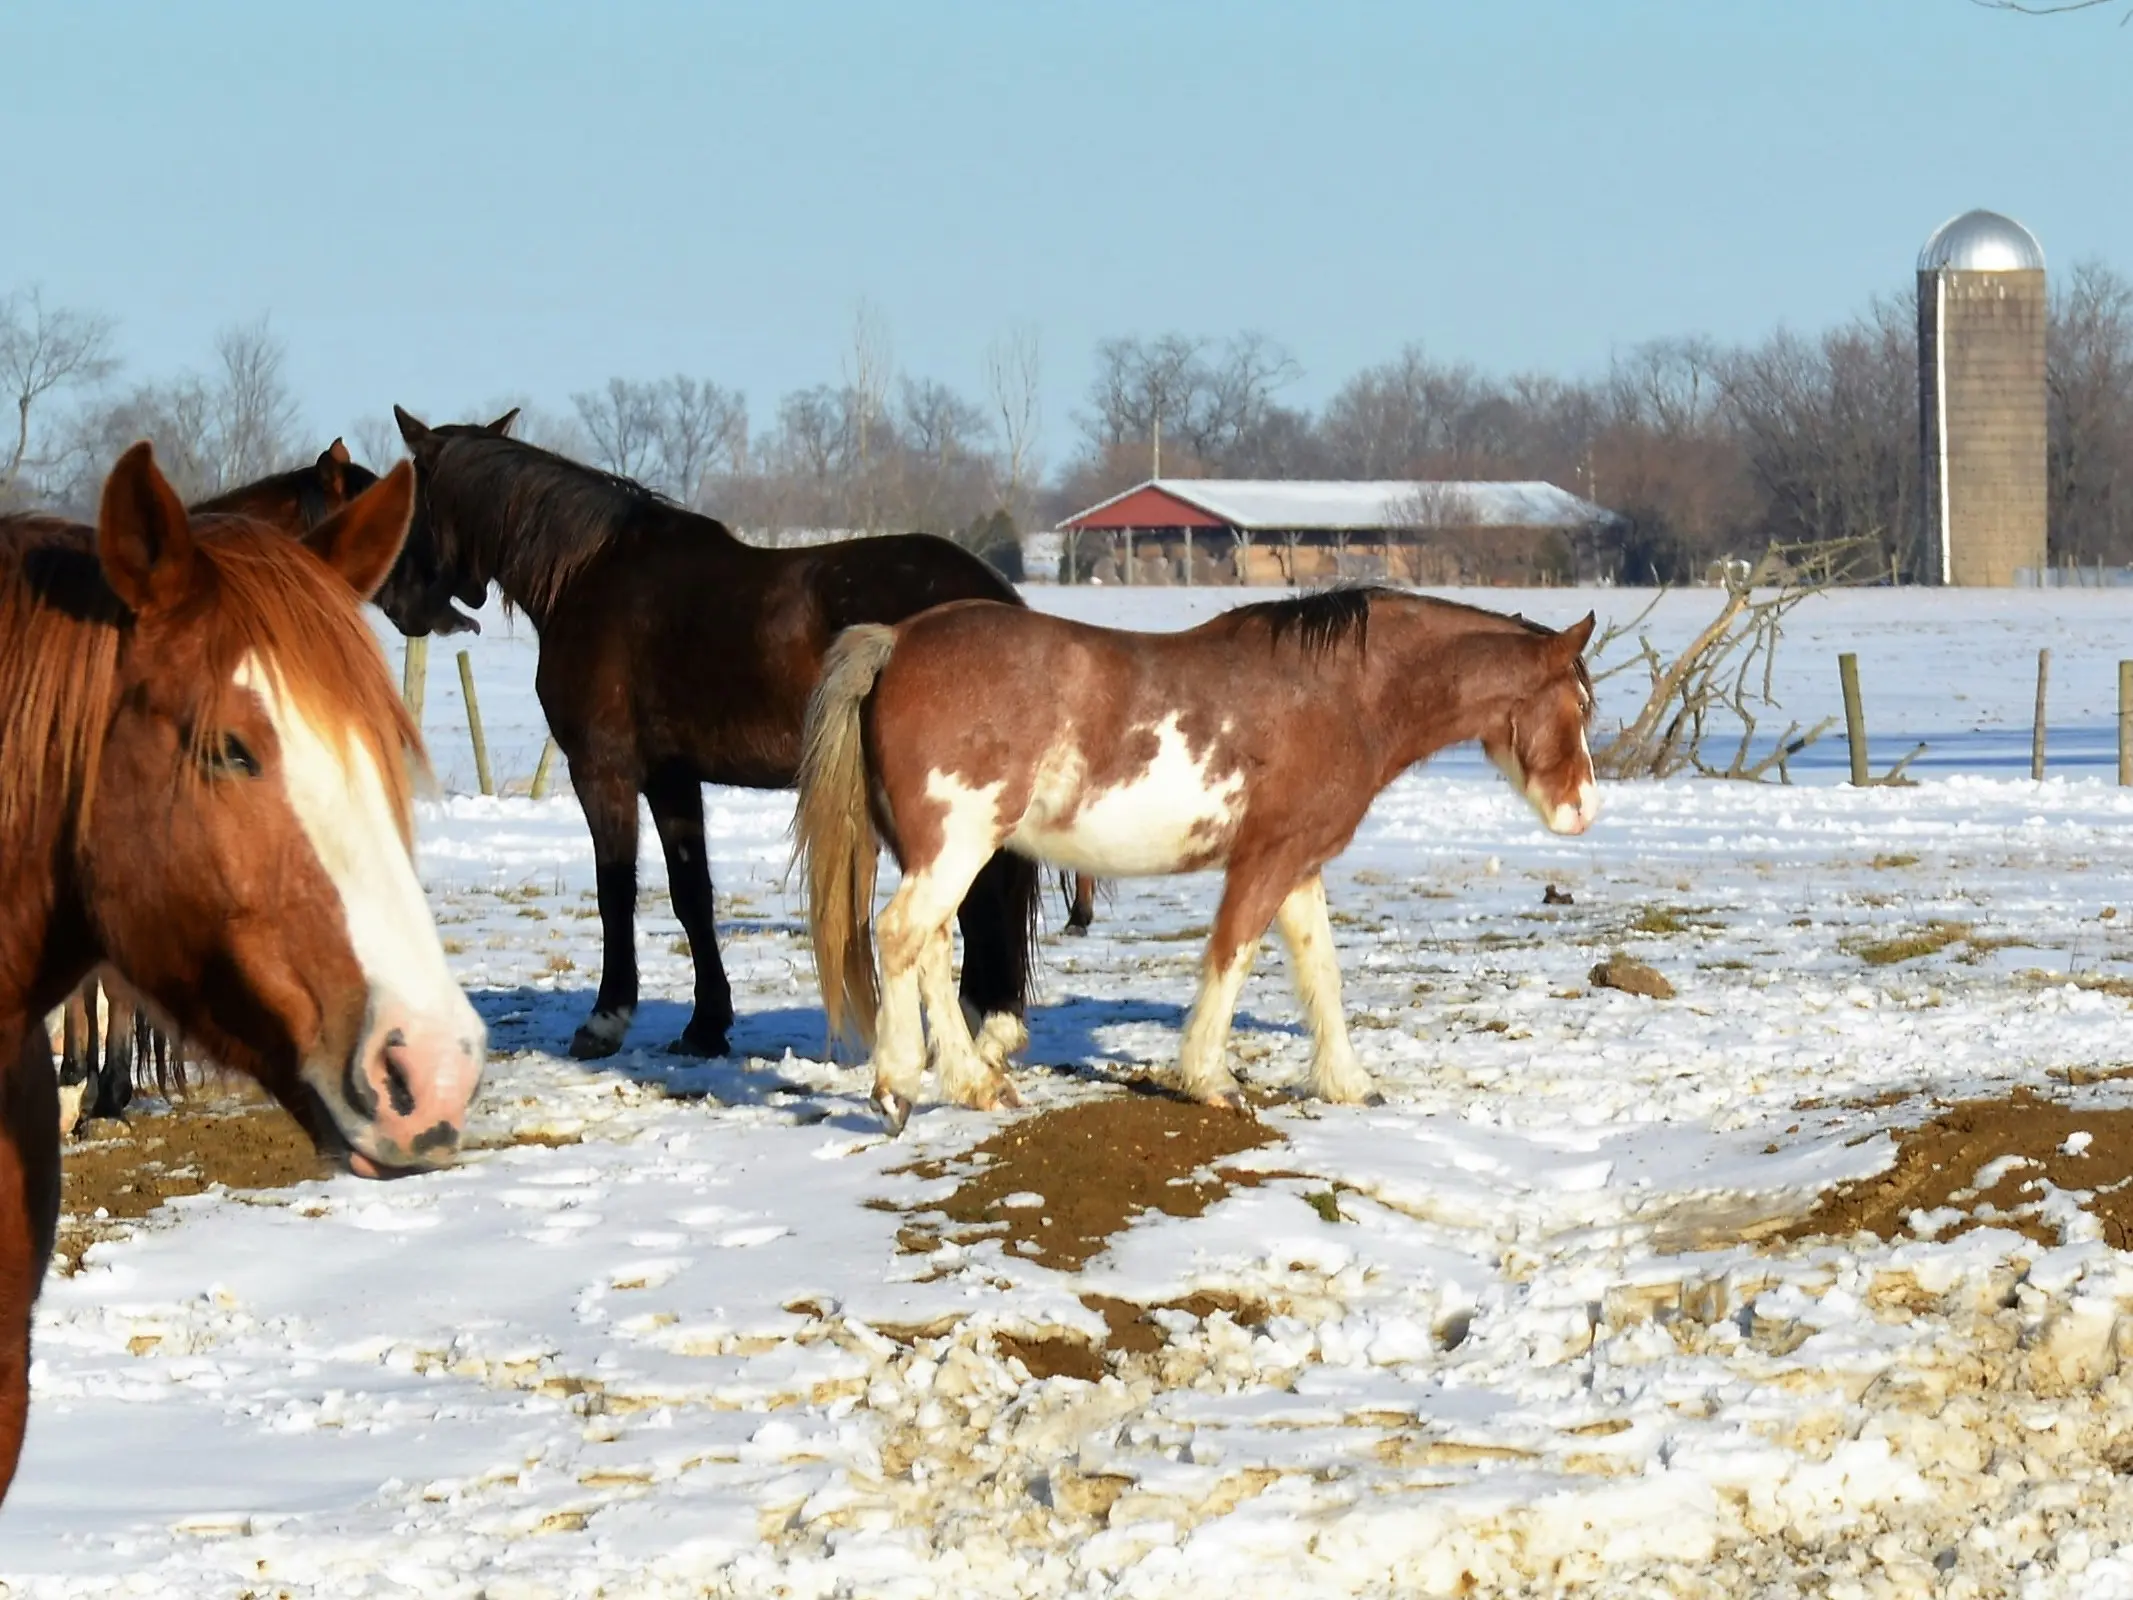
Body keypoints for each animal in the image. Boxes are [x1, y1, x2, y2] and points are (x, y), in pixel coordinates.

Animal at [802, 584, 1604, 1126]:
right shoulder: (1265, 861)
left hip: (946, 857)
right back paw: (898, 1087)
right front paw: (1209, 1079)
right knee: (901, 935)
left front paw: (1347, 1083)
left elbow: (1321, 972)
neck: (1342, 694)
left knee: (930, 946)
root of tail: (896, 641)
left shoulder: (1298, 864)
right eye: (1580, 705)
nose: (1585, 809)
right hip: (958, 848)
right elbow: (1231, 957)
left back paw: (975, 1083)